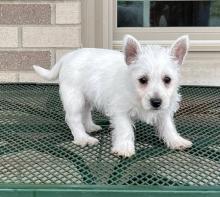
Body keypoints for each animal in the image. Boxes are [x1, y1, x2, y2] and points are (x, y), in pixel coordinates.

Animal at [33, 34, 192, 157]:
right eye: (142, 80)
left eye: (167, 79)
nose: (156, 102)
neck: (135, 93)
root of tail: (68, 56)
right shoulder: (120, 111)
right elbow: (125, 129)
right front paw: (124, 148)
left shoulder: (164, 111)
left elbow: (168, 126)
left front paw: (176, 141)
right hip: (74, 98)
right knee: (73, 119)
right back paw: (83, 138)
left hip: (86, 97)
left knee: (85, 113)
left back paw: (90, 127)